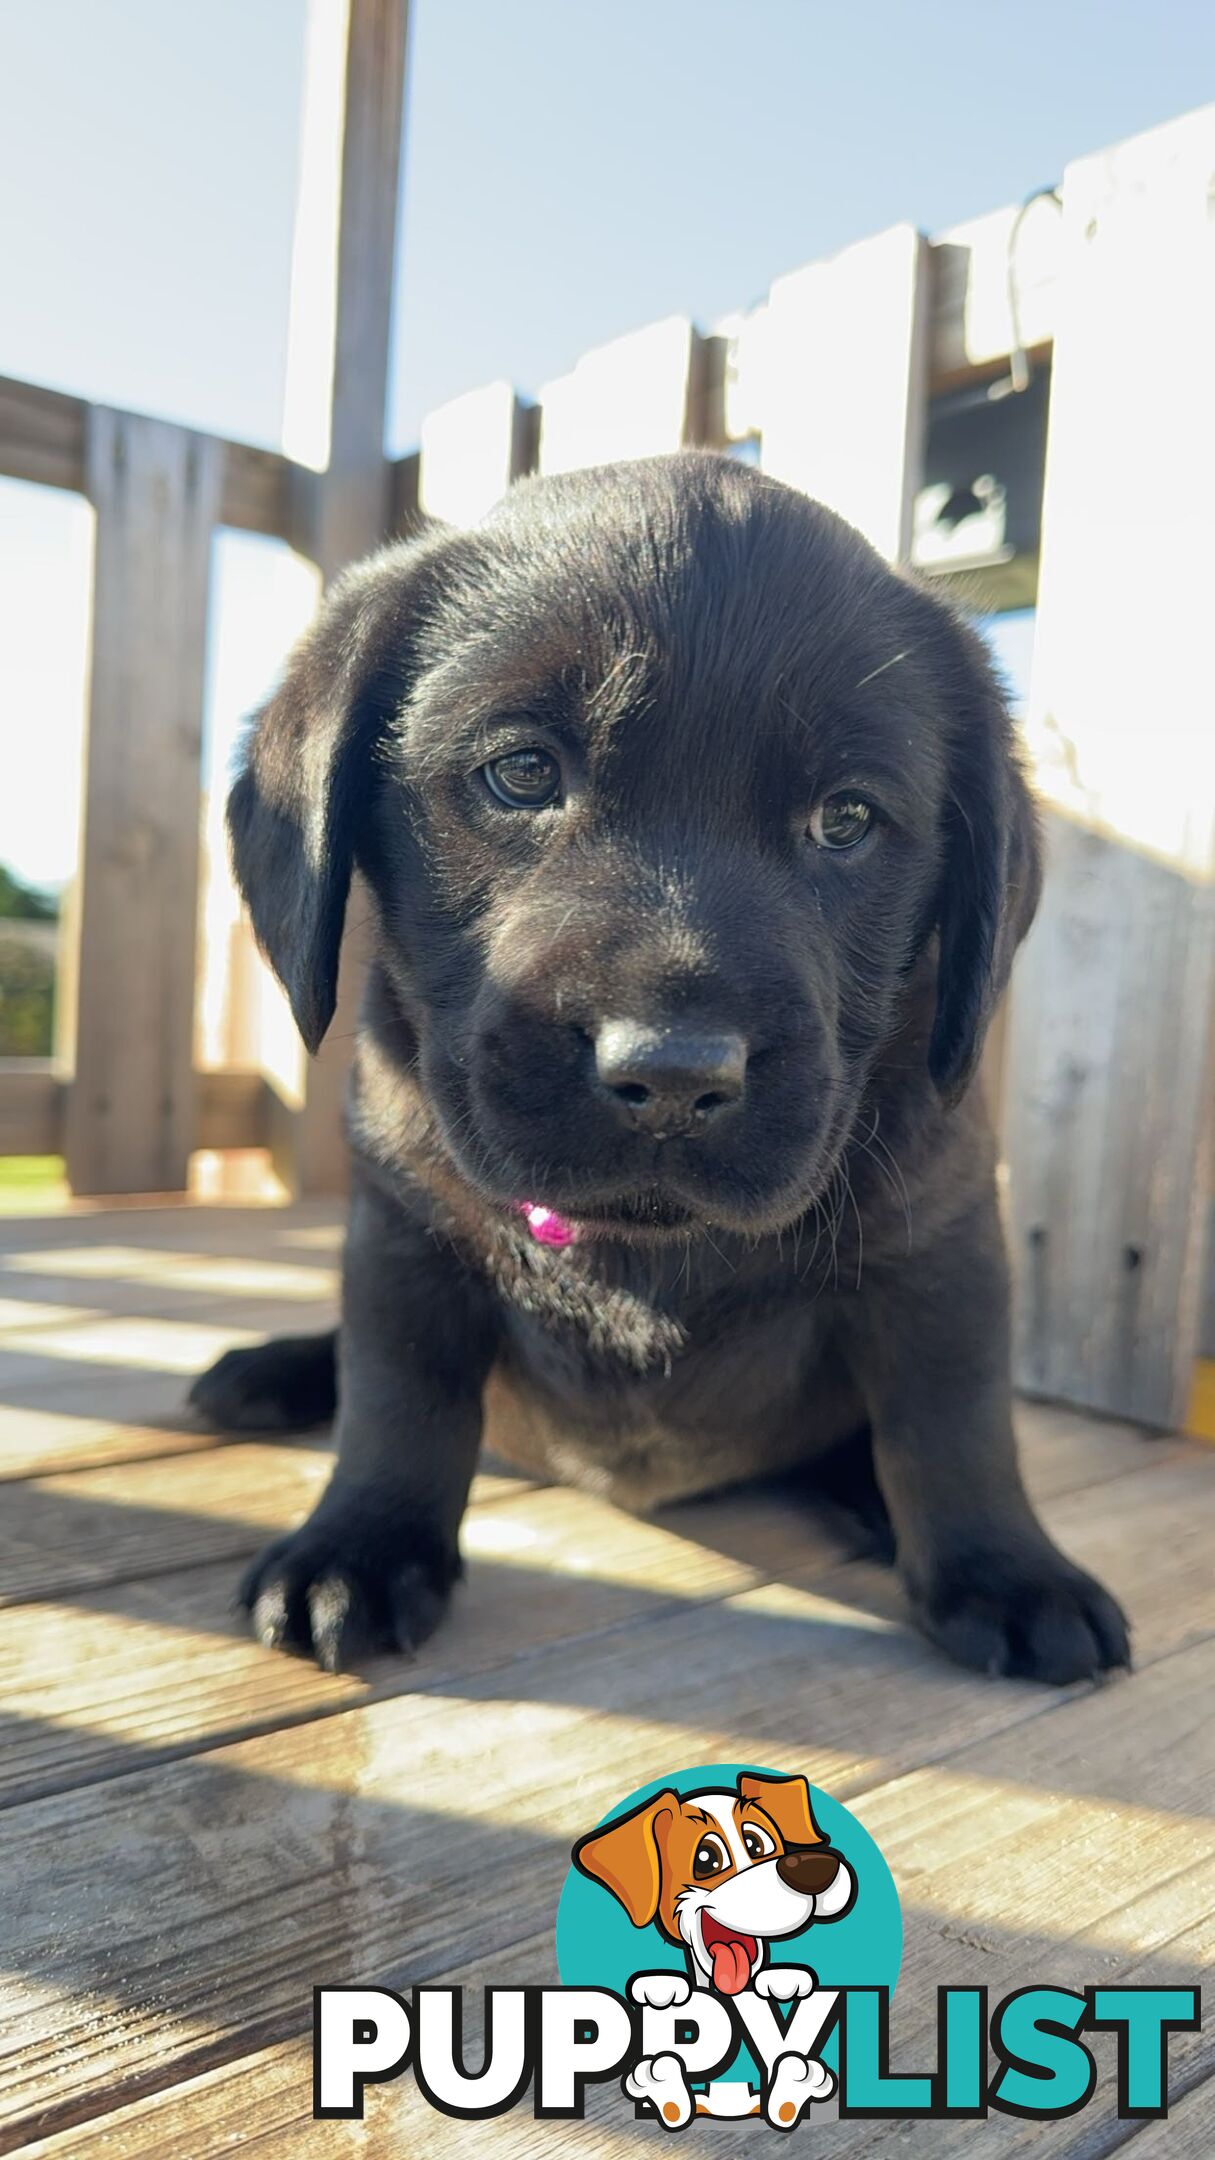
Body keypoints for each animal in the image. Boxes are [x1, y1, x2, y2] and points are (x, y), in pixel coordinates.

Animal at [191, 455, 1124, 1684]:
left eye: (847, 819)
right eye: (521, 773)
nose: (674, 1073)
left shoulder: (943, 1244)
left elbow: (956, 1422)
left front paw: (1008, 1570)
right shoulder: (404, 1231)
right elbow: (398, 1399)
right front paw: (359, 1544)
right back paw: (268, 1372)